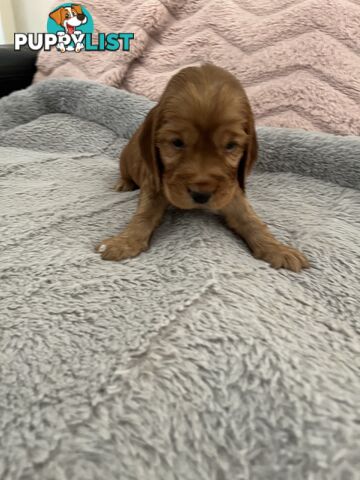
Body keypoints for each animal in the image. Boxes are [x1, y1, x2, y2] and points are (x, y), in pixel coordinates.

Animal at [95, 63, 310, 272]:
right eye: (177, 143)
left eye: (231, 146)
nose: (201, 195)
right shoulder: (154, 183)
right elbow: (144, 214)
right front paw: (123, 242)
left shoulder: (230, 189)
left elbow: (251, 220)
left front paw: (278, 249)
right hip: (125, 160)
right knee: (125, 174)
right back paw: (123, 184)